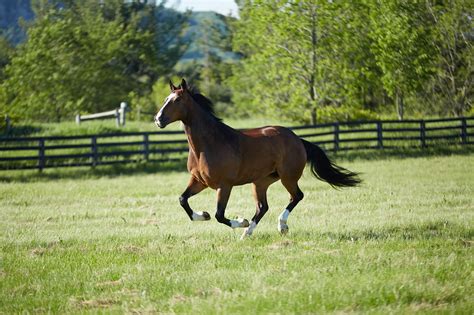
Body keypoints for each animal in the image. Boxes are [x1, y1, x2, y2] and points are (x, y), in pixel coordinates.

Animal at [155, 79, 360, 239]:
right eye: (165, 99)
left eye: (177, 100)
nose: (158, 119)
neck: (209, 144)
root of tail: (297, 139)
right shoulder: (200, 181)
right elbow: (183, 199)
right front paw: (203, 215)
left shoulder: (224, 185)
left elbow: (219, 215)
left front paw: (241, 221)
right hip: (260, 182)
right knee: (263, 207)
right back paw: (247, 234)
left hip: (287, 177)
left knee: (296, 196)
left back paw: (279, 226)